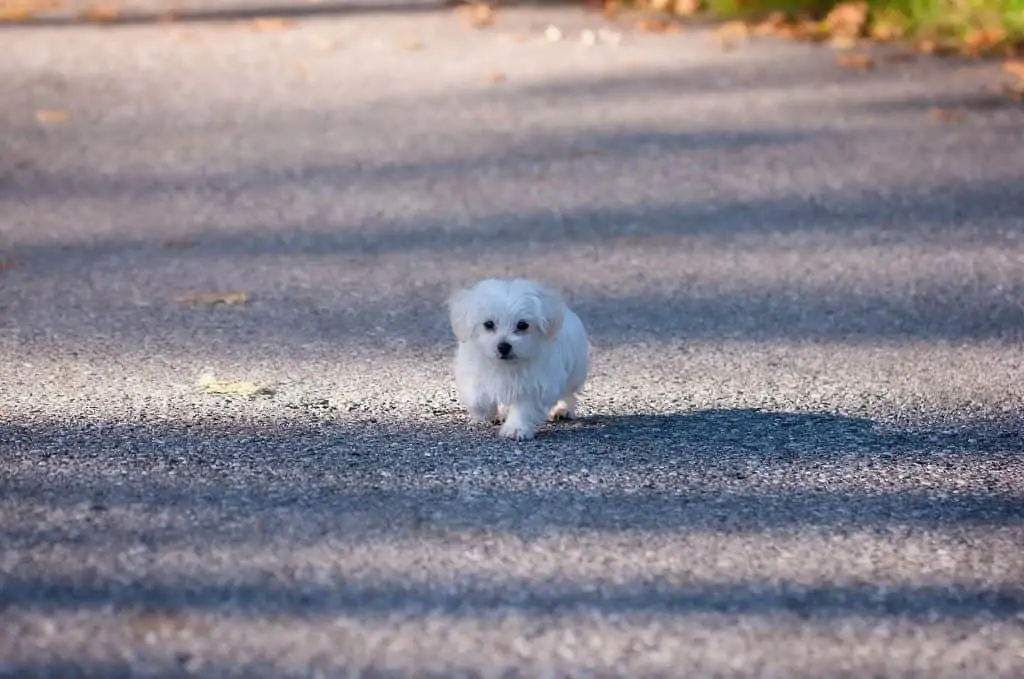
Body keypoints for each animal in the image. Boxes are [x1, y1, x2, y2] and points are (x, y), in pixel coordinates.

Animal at [448, 280, 593, 444]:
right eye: (488, 324)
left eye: (522, 325)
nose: (503, 347)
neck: (505, 366)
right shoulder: (472, 371)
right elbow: (477, 396)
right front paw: (485, 412)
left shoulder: (534, 385)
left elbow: (524, 408)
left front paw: (516, 429)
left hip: (575, 371)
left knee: (568, 392)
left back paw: (563, 410)